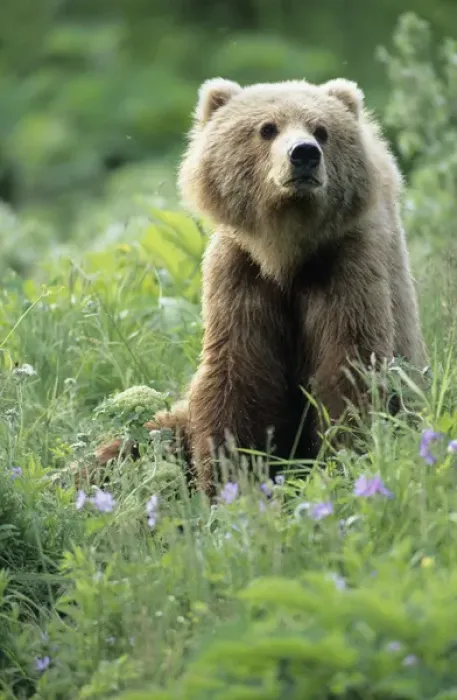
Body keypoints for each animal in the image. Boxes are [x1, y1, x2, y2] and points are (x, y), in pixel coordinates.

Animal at [95, 76, 427, 497]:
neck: (286, 253)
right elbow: (237, 374)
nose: (304, 153)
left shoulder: (347, 268)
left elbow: (350, 365)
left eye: (322, 130)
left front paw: (345, 461)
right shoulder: (241, 275)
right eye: (267, 128)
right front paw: (230, 481)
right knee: (130, 445)